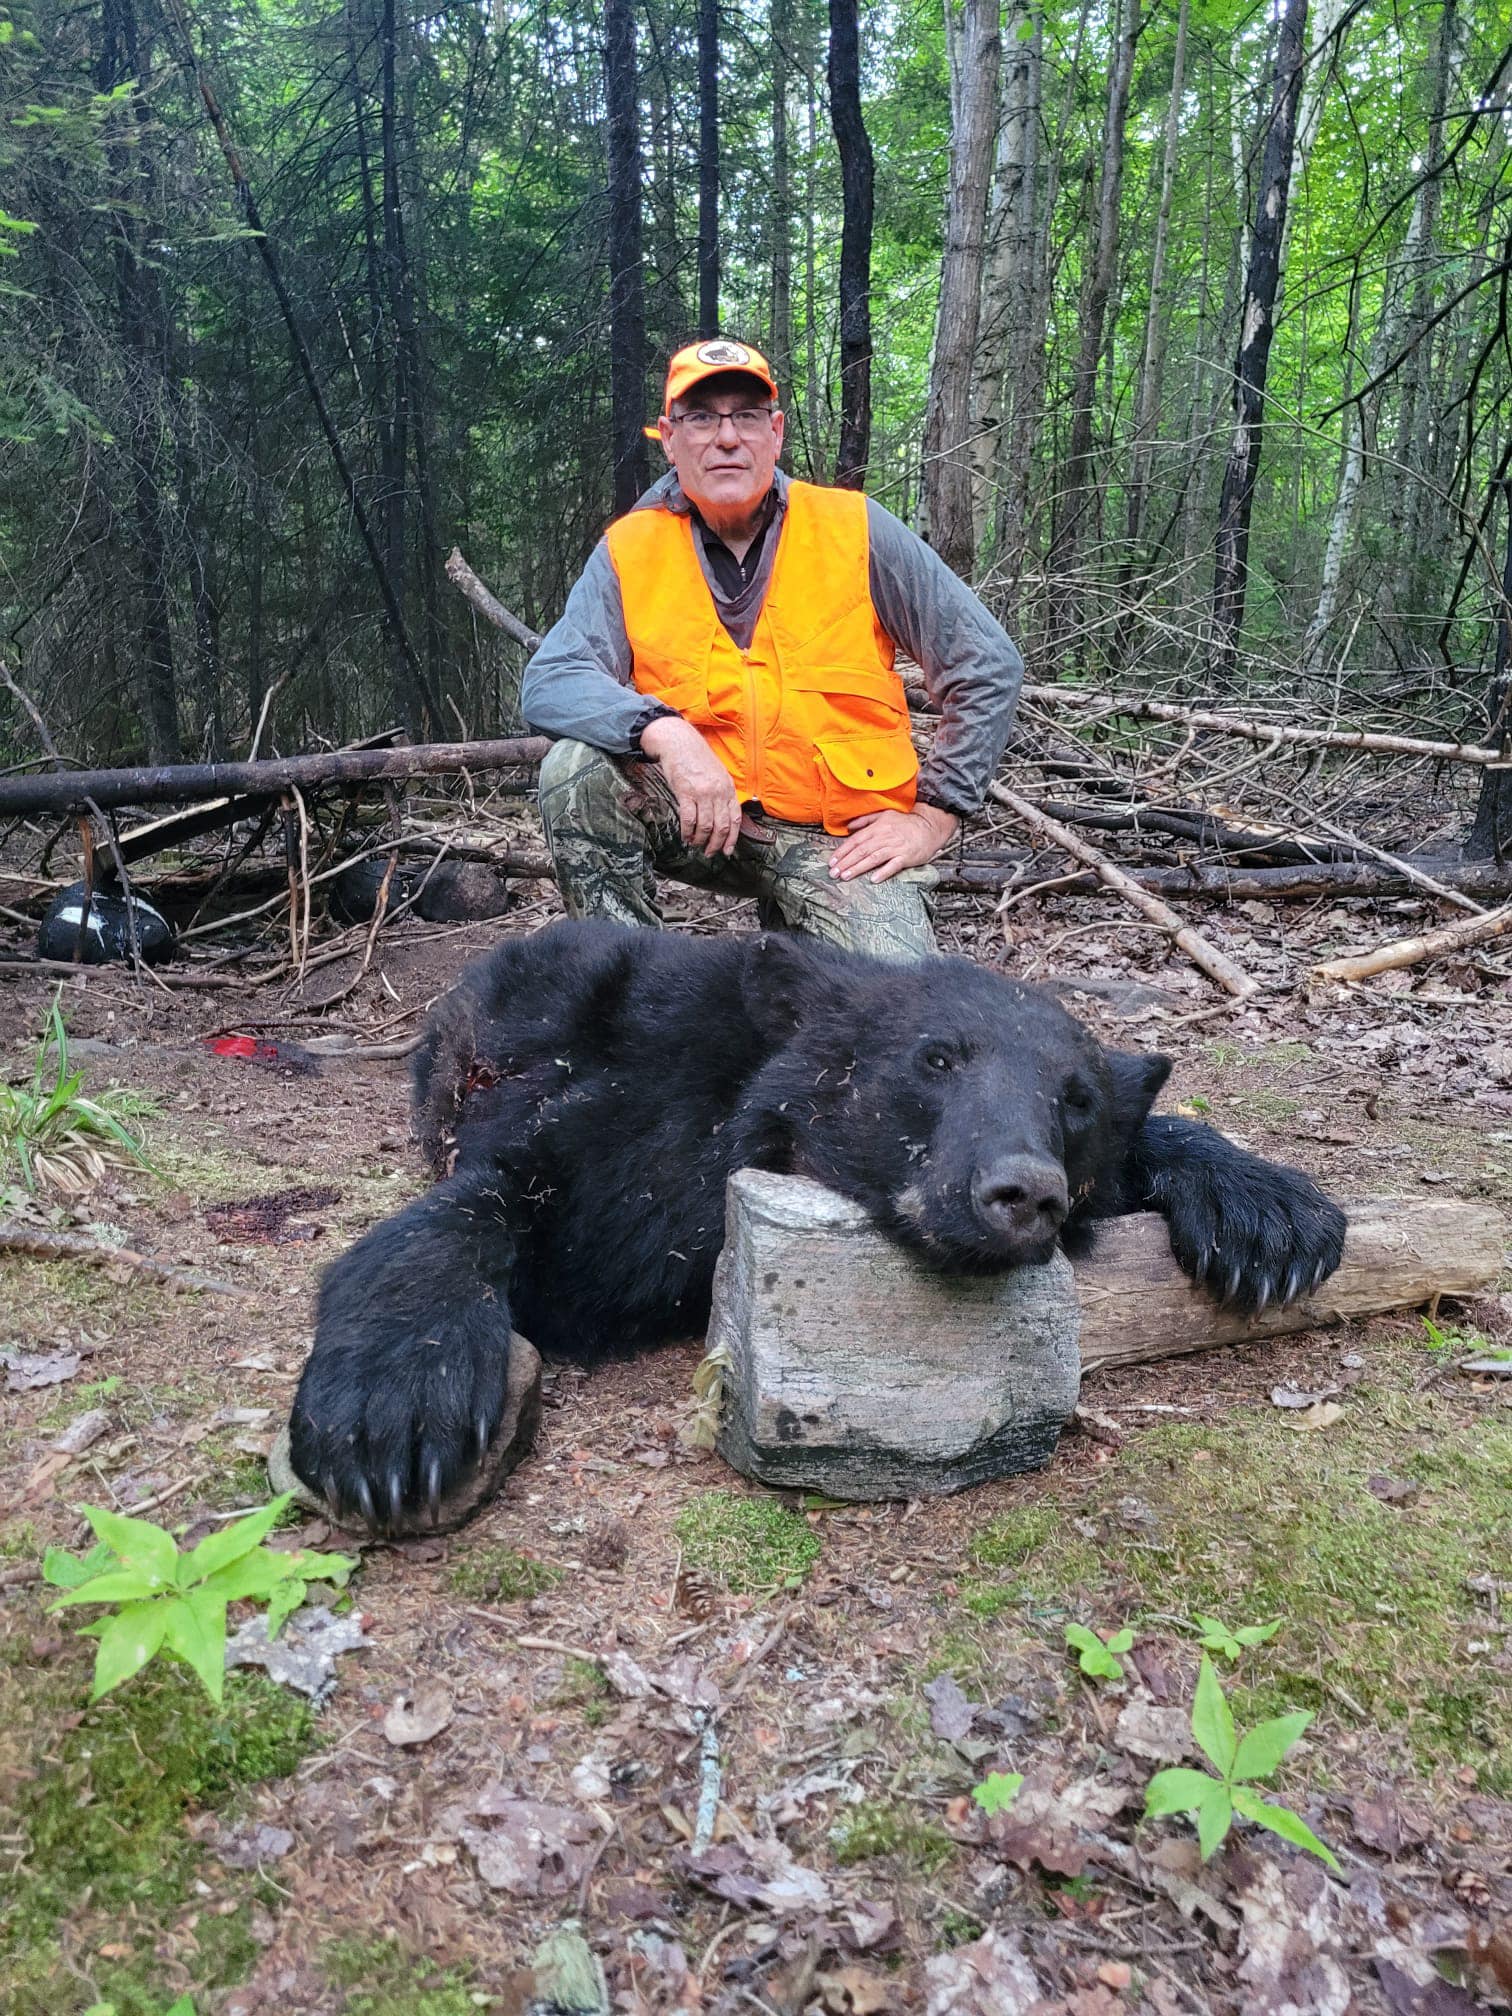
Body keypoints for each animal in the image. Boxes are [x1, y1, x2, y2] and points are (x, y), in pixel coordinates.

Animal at [289, 920, 1347, 1532]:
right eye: (935, 1058)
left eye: (1075, 1099)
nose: (1024, 1192)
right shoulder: (613, 1133)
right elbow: (492, 1208)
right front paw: (391, 1406)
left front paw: (1272, 1212)